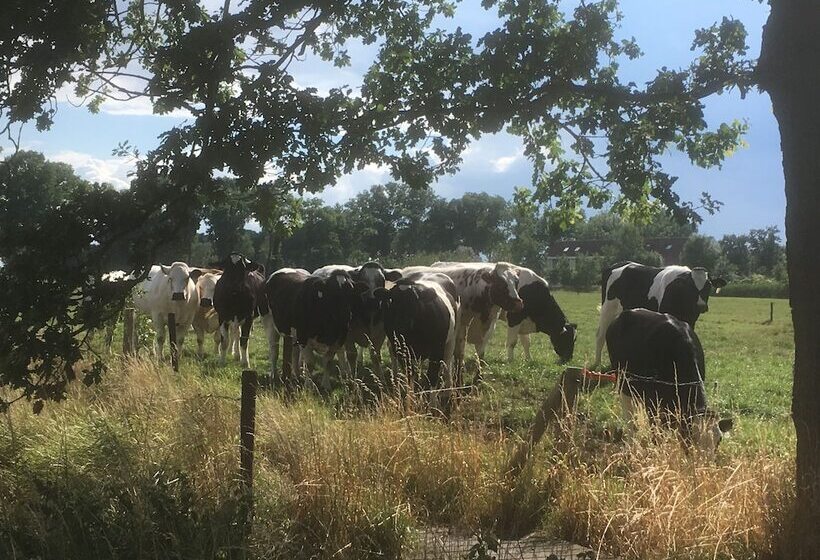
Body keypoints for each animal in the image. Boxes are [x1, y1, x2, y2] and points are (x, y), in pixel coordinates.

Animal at [592, 262, 728, 368]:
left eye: (708, 285)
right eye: (690, 286)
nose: (701, 305)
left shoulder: (691, 321)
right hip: (608, 308)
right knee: (600, 335)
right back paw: (598, 363)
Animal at [604, 308, 732, 458]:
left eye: (719, 440)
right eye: (691, 438)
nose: (704, 464)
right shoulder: (652, 402)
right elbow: (655, 430)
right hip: (623, 381)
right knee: (630, 417)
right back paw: (630, 445)